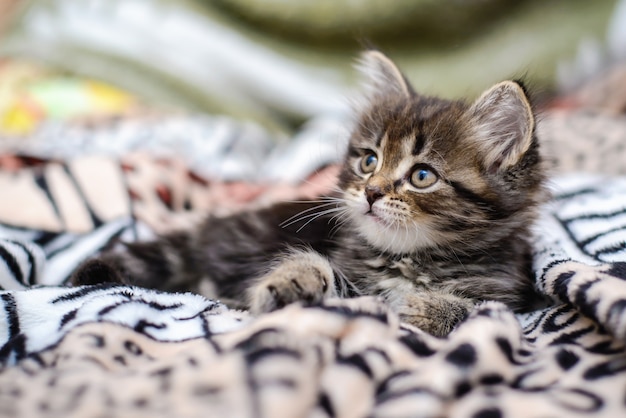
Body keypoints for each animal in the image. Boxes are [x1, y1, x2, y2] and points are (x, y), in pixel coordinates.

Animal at [70, 50, 544, 336]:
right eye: (368, 161)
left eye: (422, 176)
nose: (371, 193)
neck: (410, 260)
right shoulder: (351, 275)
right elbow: (320, 270)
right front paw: (289, 283)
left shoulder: (508, 297)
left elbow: (477, 311)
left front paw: (427, 309)